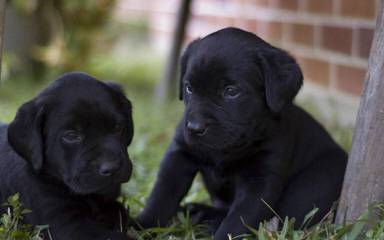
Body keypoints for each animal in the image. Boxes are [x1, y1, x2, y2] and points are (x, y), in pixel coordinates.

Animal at [138, 27, 348, 238]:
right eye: (189, 87)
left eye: (231, 91)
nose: (194, 127)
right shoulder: (179, 155)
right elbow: (161, 196)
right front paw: (140, 225)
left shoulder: (260, 179)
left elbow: (238, 219)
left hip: (314, 183)